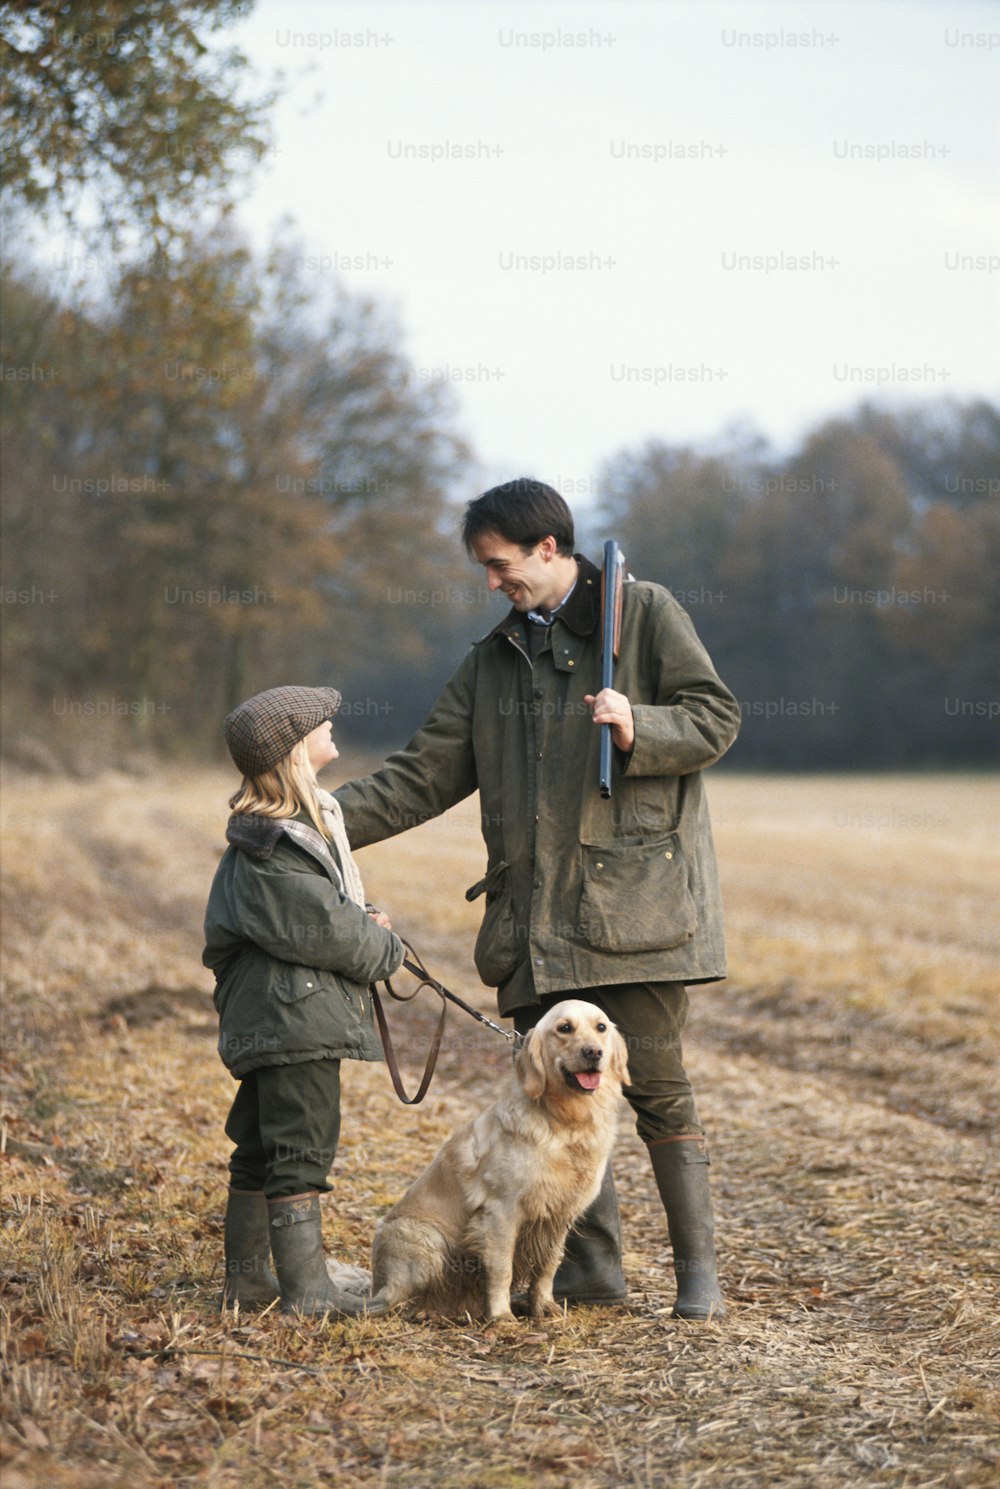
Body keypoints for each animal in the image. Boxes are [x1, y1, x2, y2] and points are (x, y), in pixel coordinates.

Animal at [370, 994, 627, 1322]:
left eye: (601, 1027)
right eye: (565, 1028)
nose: (593, 1052)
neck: (565, 1123)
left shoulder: (559, 1216)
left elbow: (548, 1266)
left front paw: (543, 1306)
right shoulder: (501, 1212)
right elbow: (502, 1269)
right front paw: (501, 1316)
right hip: (426, 1239)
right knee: (394, 1298)